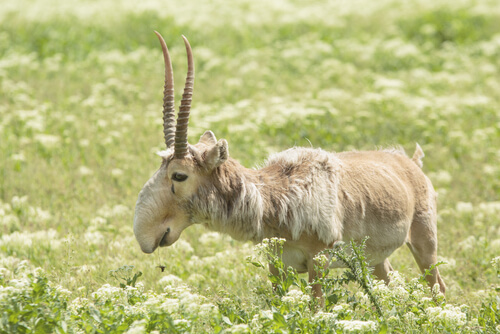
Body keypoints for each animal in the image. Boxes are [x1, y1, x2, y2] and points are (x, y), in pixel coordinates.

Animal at [133, 32, 446, 298]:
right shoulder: (277, 265)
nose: (145, 236)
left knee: (438, 287)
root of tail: (410, 163)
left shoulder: (318, 262)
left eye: (179, 175)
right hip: (375, 259)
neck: (278, 193)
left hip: (424, 244)